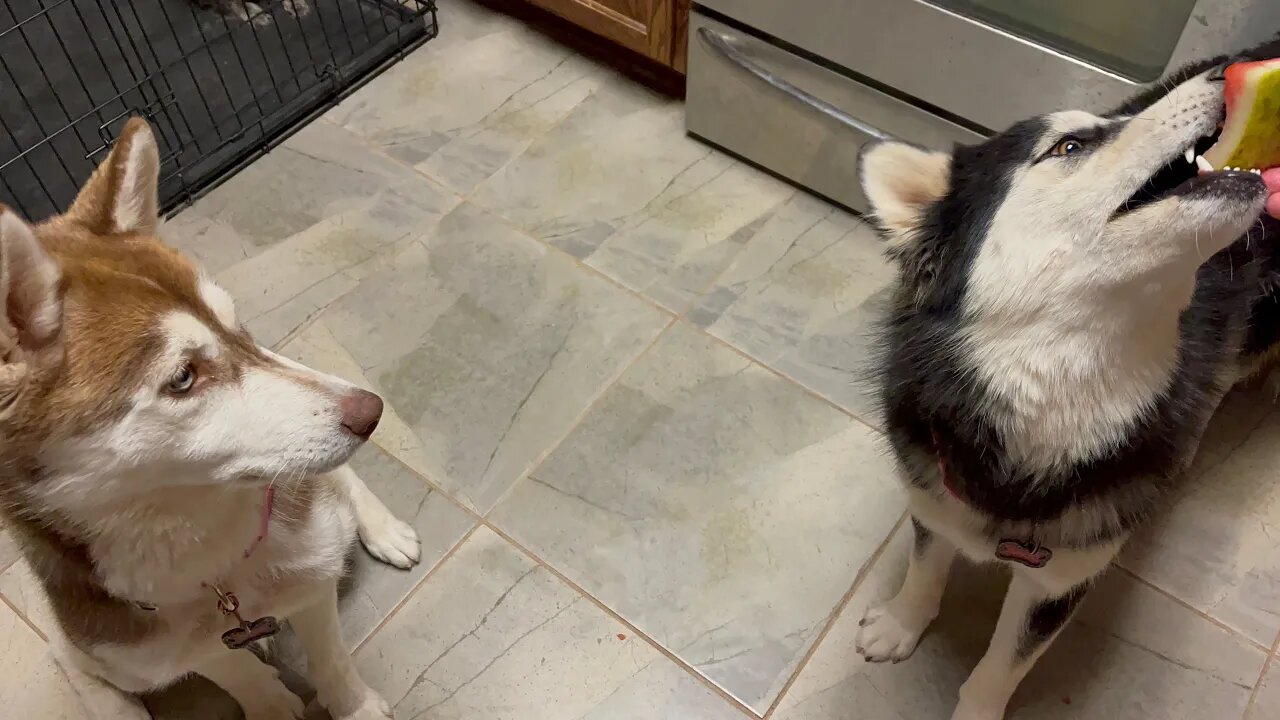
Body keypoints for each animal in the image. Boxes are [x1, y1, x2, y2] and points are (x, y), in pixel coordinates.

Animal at [855, 36, 1280, 717]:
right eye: (1071, 146)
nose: (1227, 74)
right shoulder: (930, 490)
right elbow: (927, 563)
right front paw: (902, 623)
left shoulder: (1064, 576)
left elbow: (1003, 666)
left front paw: (975, 708)